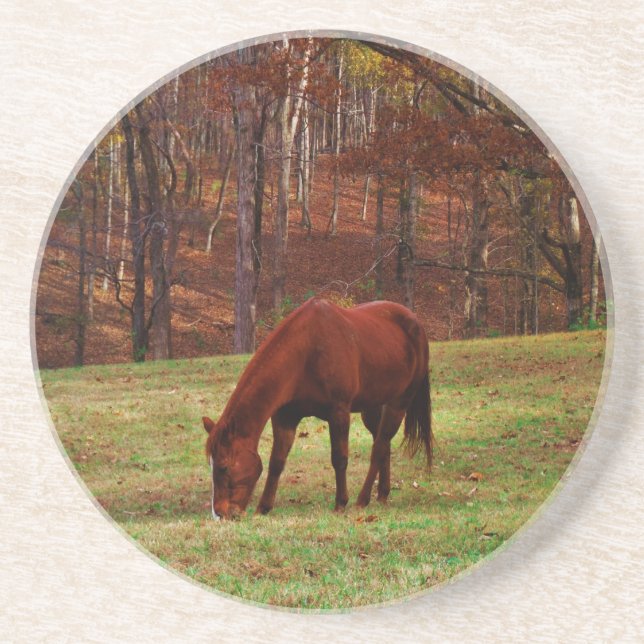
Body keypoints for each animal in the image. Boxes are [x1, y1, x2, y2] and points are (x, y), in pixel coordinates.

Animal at [202, 297, 432, 520]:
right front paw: (263, 507)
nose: (219, 514)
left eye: (223, 467)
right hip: (373, 407)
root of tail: (417, 324)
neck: (306, 351)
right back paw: (382, 494)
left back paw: (362, 499)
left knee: (378, 447)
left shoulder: (339, 413)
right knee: (383, 443)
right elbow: (277, 461)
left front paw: (341, 503)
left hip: (399, 402)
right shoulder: (285, 417)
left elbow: (339, 458)